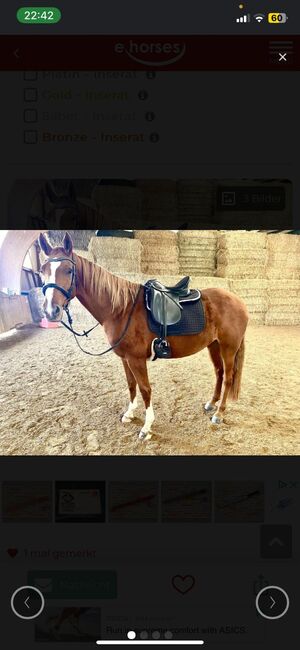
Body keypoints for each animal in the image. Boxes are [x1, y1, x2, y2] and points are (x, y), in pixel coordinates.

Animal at [39, 230, 248, 438]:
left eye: (68, 270)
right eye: (42, 270)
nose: (51, 311)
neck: (121, 309)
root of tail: (239, 301)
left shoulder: (136, 359)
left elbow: (145, 389)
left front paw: (147, 427)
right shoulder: (125, 358)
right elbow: (131, 385)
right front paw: (129, 414)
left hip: (228, 348)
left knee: (228, 377)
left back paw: (219, 413)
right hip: (213, 345)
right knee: (219, 373)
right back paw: (211, 404)